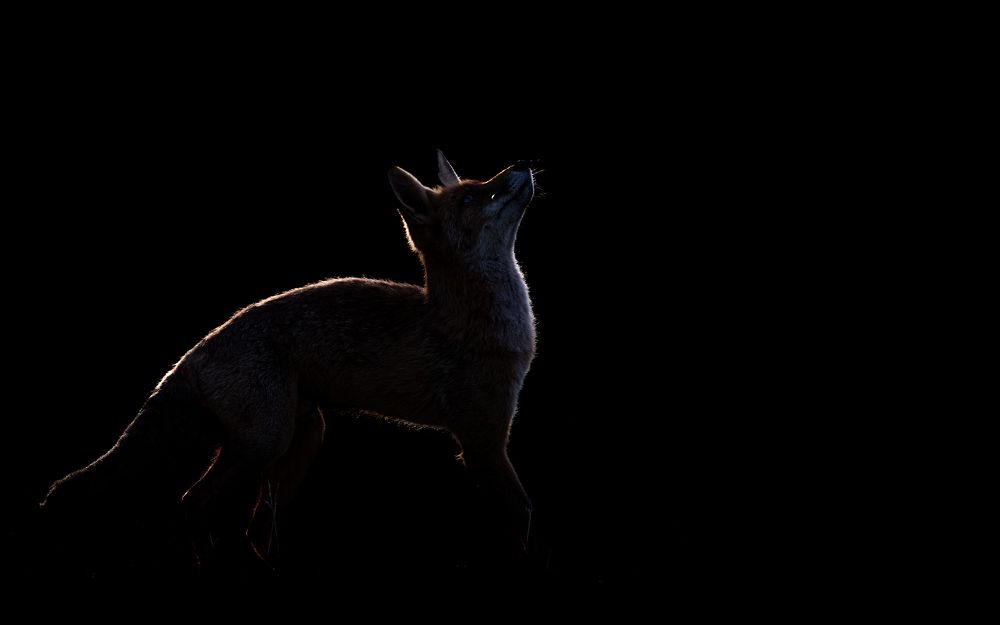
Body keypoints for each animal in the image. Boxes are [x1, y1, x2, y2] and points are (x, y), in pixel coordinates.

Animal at [39, 151, 537, 576]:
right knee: (192, 505)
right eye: (471, 196)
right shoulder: (482, 440)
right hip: (266, 442)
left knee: (254, 529)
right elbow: (522, 517)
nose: (521, 162)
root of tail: (196, 350)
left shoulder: (488, 438)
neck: (478, 327)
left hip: (302, 438)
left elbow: (519, 518)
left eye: (481, 183)